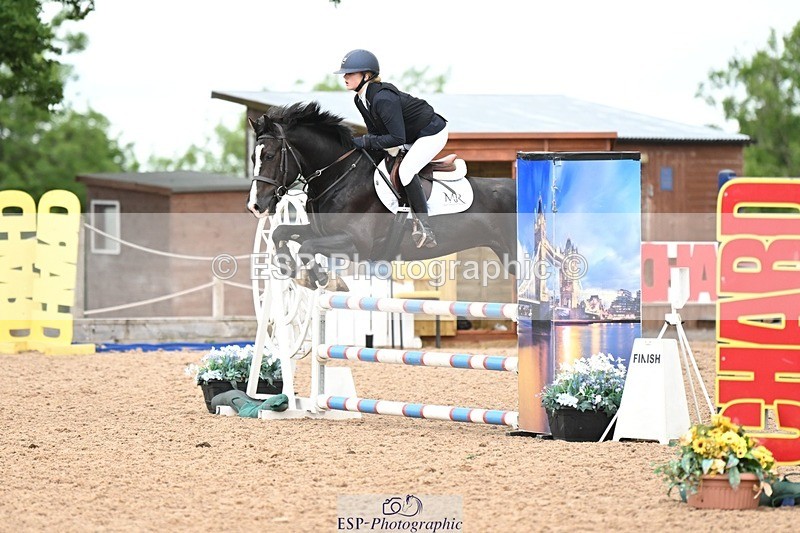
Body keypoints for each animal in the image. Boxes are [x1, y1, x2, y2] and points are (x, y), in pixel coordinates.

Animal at [247, 101, 517, 288]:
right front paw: (288, 266)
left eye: (269, 156)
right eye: (252, 157)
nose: (255, 206)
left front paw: (324, 279)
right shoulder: (321, 231)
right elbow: (282, 232)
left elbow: (306, 246)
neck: (340, 175)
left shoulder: (357, 243)